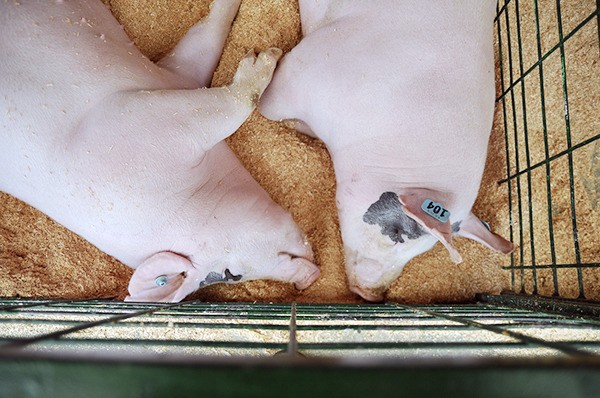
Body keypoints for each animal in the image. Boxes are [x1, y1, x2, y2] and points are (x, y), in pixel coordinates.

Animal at [0, 0, 322, 302]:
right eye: (232, 274)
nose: (309, 279)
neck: (186, 193)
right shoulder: (157, 123)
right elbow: (236, 103)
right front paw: (264, 59)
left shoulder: (175, 77)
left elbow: (205, 35)